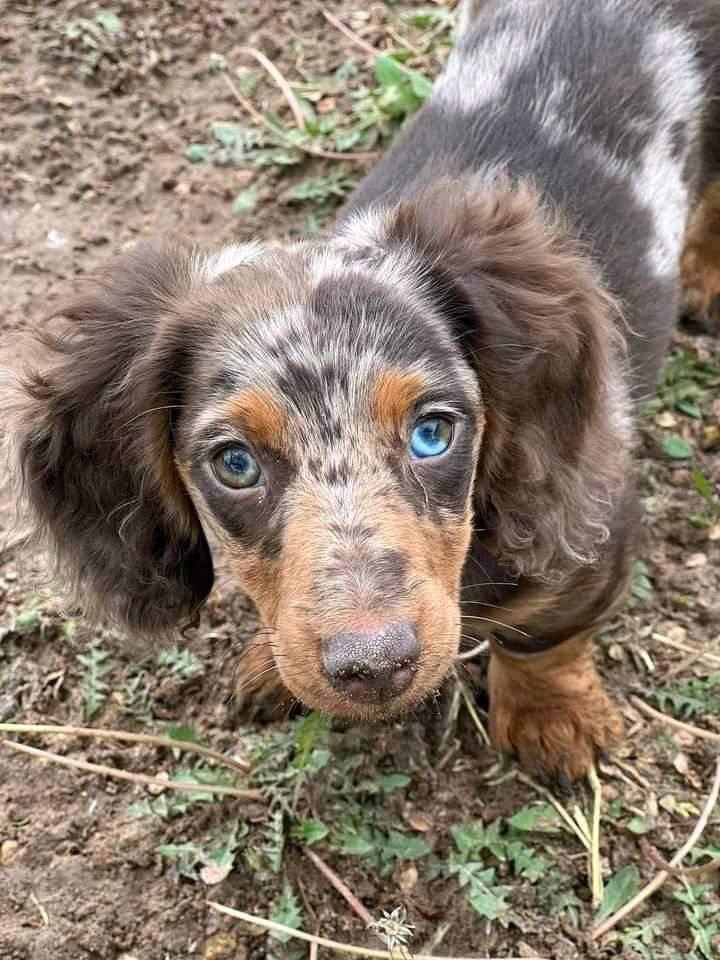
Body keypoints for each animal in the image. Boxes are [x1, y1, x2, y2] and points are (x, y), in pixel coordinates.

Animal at [9, 0, 720, 780]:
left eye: (432, 432)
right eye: (235, 464)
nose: (375, 668)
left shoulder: (592, 523)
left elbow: (547, 633)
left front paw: (553, 717)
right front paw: (270, 664)